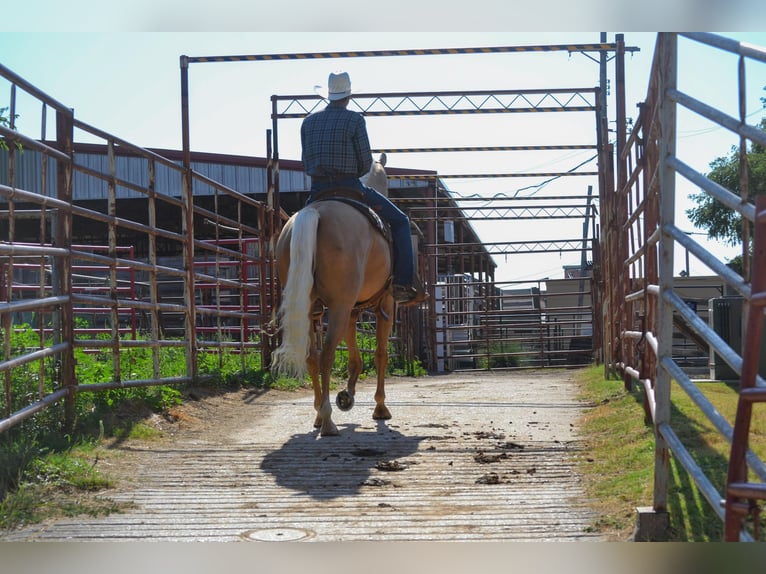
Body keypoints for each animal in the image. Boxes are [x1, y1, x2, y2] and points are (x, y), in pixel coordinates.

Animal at [272, 155, 396, 438]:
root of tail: (315, 212)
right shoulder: (385, 305)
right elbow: (380, 354)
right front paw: (379, 407)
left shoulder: (353, 310)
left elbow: (355, 359)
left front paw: (347, 395)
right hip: (339, 307)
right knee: (327, 353)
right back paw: (328, 421)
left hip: (314, 309)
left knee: (312, 356)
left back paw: (320, 414)